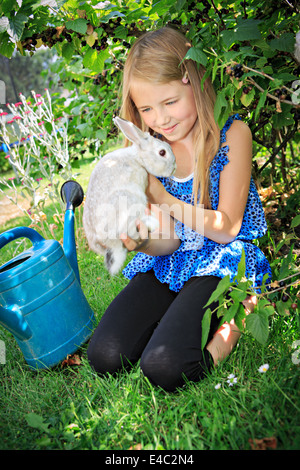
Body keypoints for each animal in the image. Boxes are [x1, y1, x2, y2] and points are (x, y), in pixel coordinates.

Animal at [82, 115, 176, 276]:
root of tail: (110, 244)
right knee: (132, 228)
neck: (137, 158)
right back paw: (152, 223)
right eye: (162, 152)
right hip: (128, 202)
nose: (174, 167)